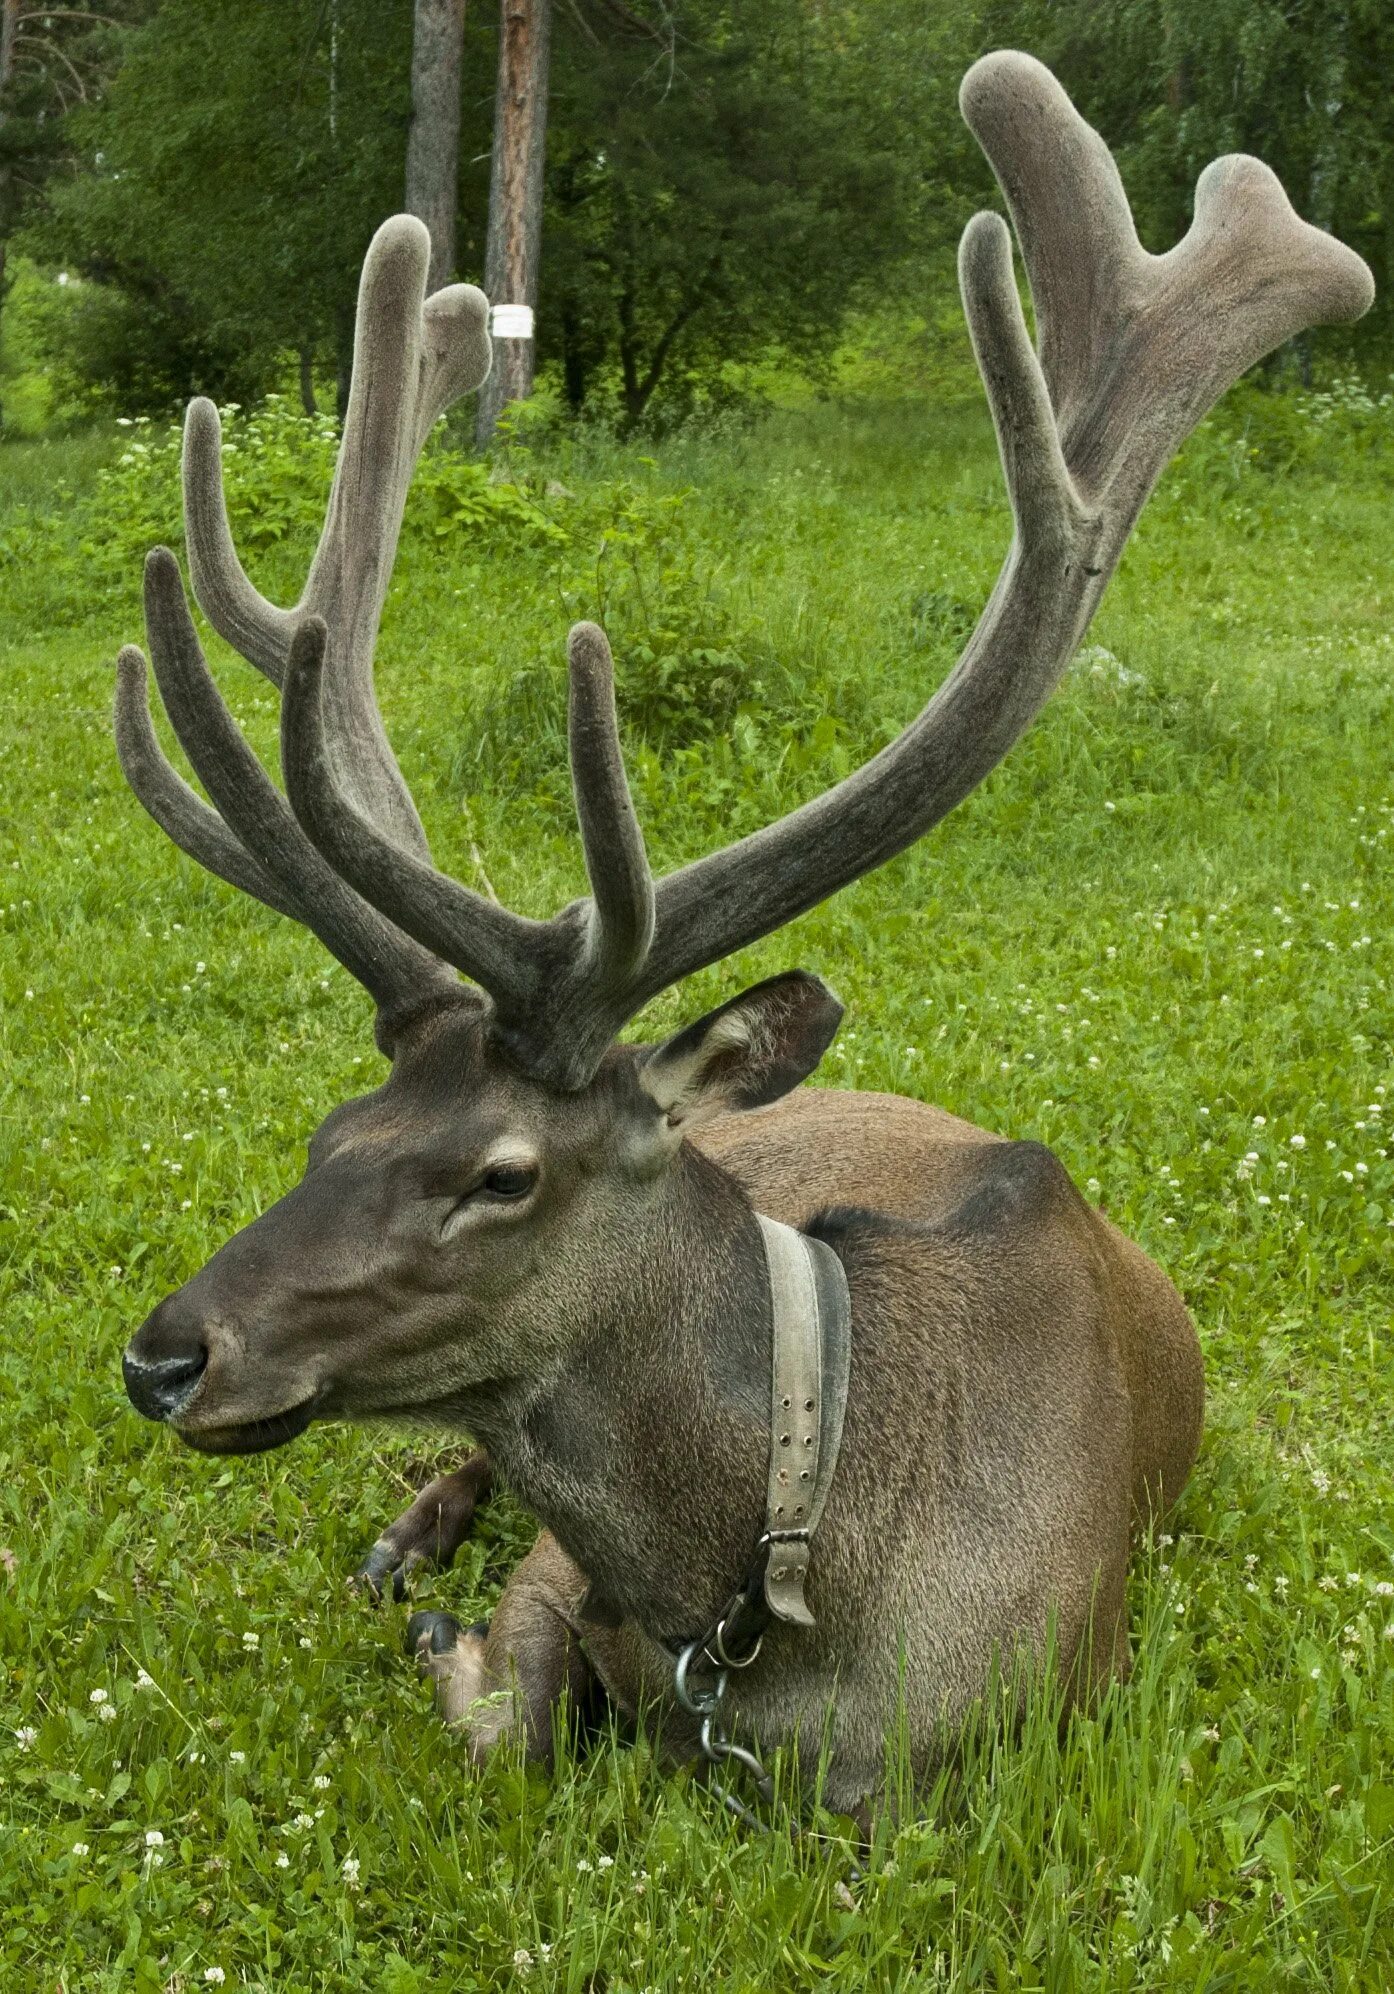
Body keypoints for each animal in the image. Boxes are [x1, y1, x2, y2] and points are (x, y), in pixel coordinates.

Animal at [111, 50, 1372, 1826]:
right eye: (326, 1131)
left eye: (501, 1172)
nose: (165, 1356)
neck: (778, 1608)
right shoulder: (571, 1580)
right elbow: (517, 1712)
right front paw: (451, 1638)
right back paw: (405, 1539)